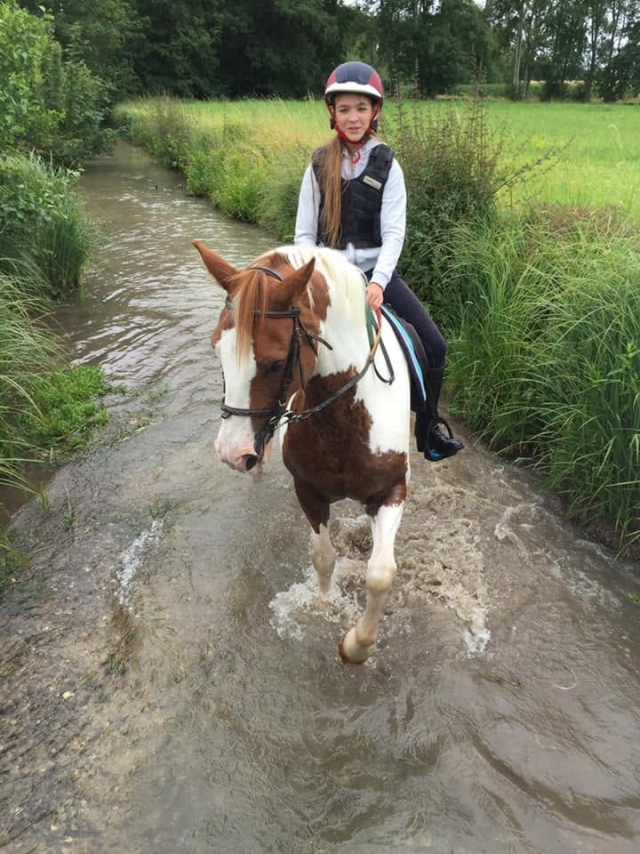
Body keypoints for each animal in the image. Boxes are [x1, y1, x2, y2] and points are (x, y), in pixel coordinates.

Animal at [193, 241, 411, 664]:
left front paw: (355, 646)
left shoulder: (392, 490)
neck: (342, 419)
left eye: (276, 362)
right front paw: (323, 608)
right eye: (216, 350)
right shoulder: (308, 490)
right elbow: (323, 558)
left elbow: (381, 573)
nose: (230, 452)